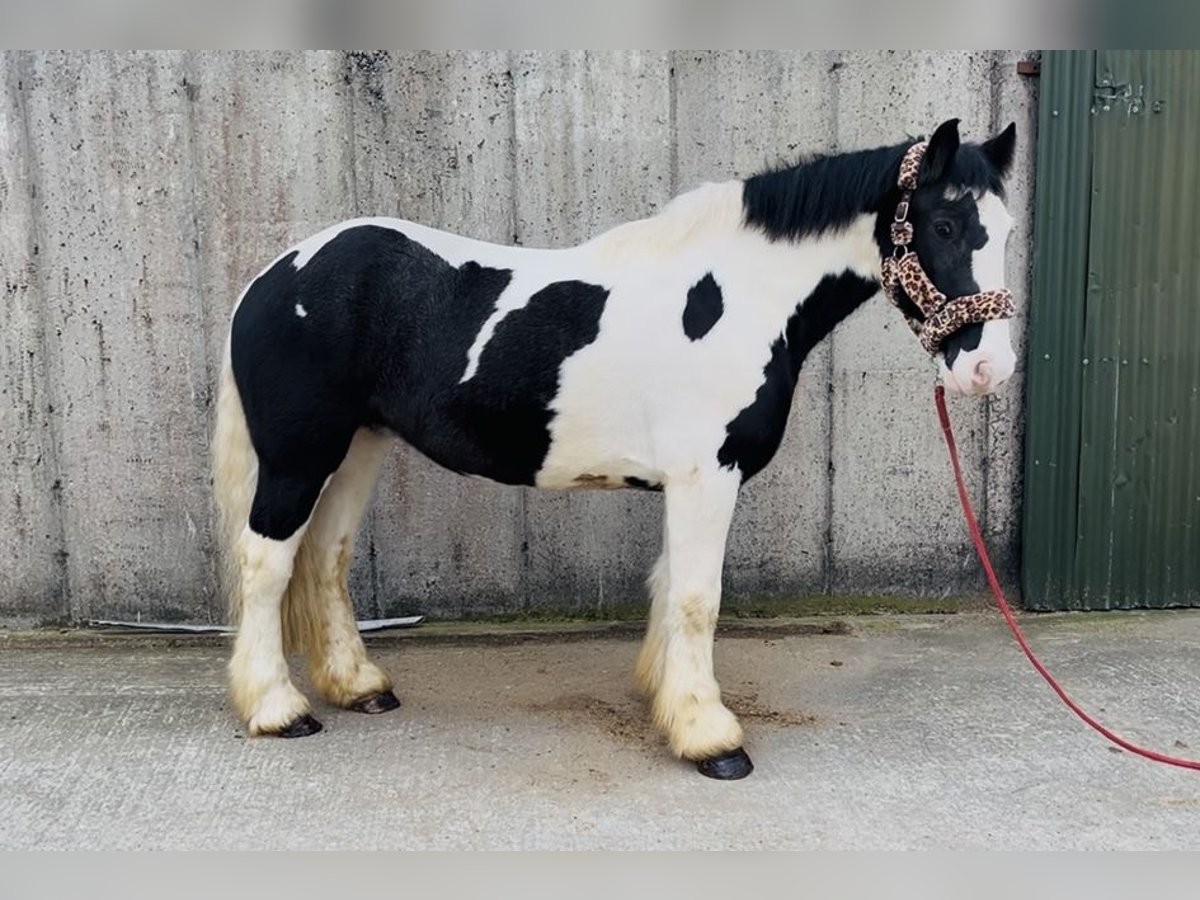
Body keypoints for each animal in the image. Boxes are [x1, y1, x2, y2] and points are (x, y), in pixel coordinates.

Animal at [212, 117, 1019, 779]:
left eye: (1007, 231)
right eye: (945, 223)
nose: (987, 369)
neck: (738, 297)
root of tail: (275, 275)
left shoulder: (688, 482)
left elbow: (668, 587)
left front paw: (668, 700)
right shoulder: (707, 476)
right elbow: (697, 598)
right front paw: (711, 738)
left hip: (358, 449)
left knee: (326, 558)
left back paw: (360, 687)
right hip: (298, 456)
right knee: (267, 562)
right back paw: (278, 710)